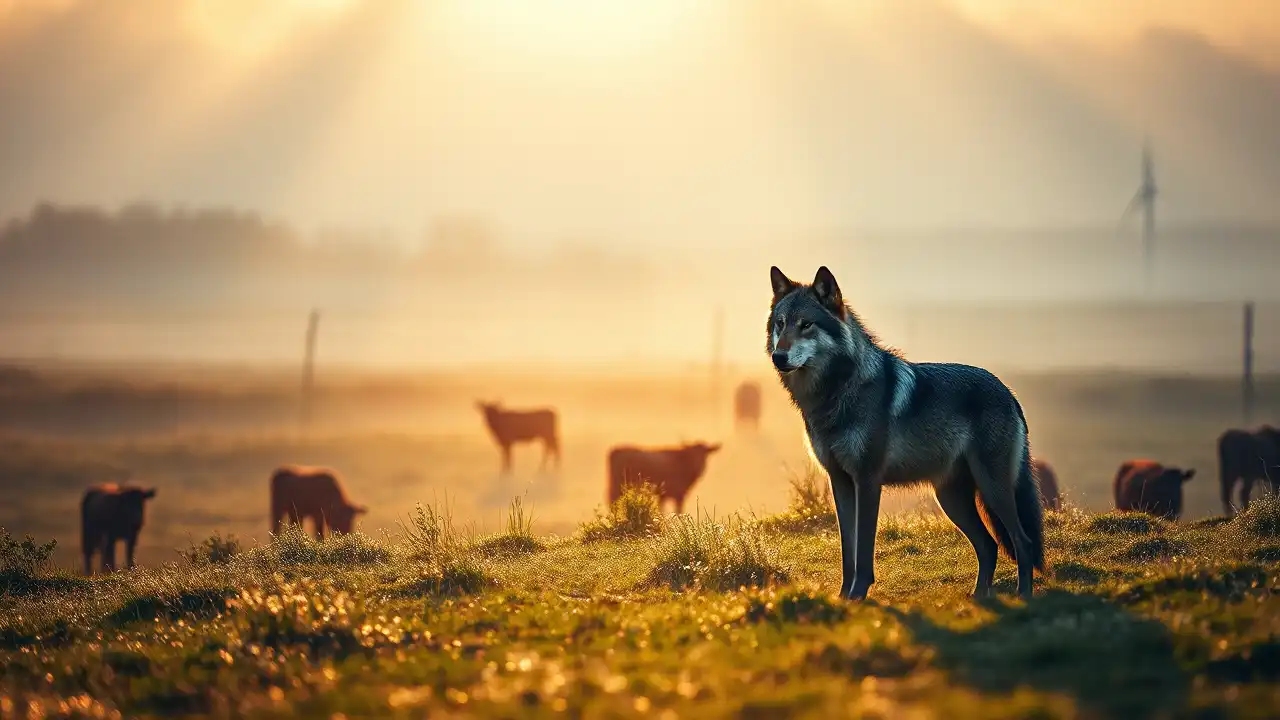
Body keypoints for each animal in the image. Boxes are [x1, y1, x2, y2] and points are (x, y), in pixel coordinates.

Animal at [766, 265, 1045, 600]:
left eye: (806, 325)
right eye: (780, 324)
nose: (778, 357)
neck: (836, 392)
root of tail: (1009, 393)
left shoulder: (868, 481)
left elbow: (863, 550)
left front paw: (858, 596)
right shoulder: (840, 482)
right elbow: (848, 551)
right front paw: (844, 598)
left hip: (993, 489)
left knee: (1022, 542)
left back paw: (1024, 597)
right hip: (951, 499)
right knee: (989, 545)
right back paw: (978, 598)